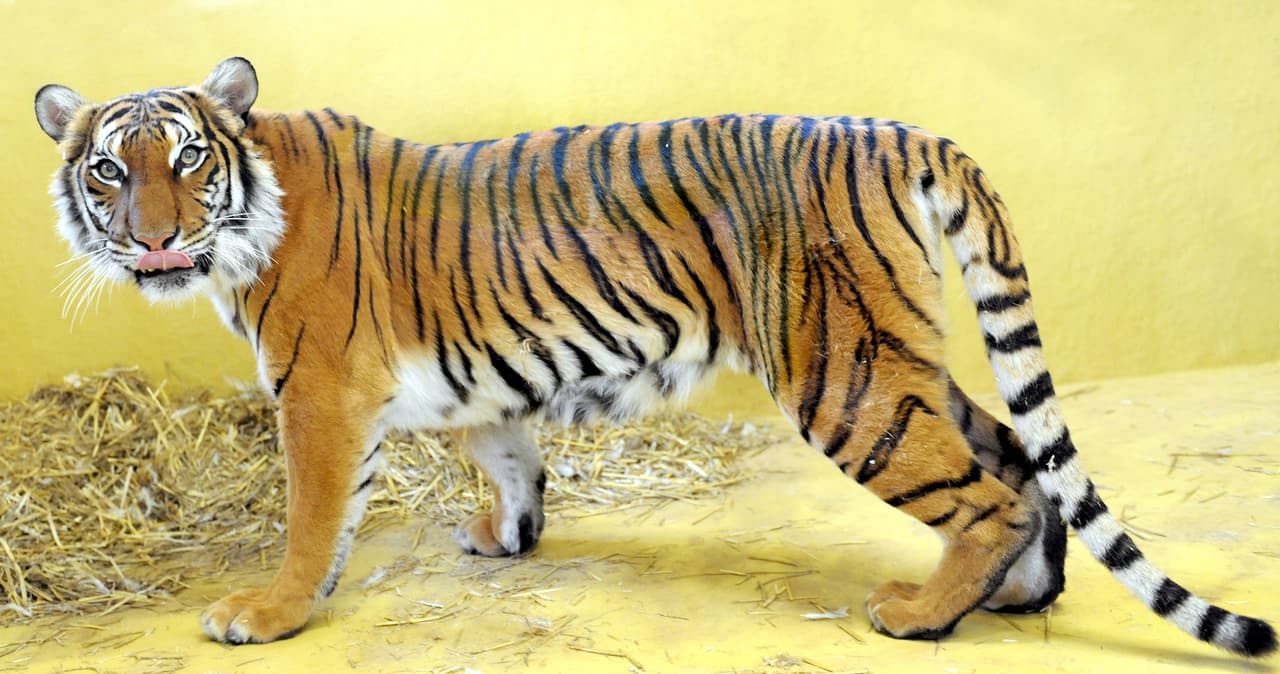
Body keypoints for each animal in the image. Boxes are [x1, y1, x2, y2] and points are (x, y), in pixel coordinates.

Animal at [32, 57, 1273, 656]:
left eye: (187, 159)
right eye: (110, 167)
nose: (153, 237)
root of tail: (900, 132)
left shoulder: (320, 394)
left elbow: (310, 518)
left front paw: (267, 611)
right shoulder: (471, 380)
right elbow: (506, 452)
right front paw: (507, 535)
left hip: (847, 376)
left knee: (990, 486)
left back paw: (920, 614)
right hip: (895, 354)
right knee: (1017, 454)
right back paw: (1012, 596)